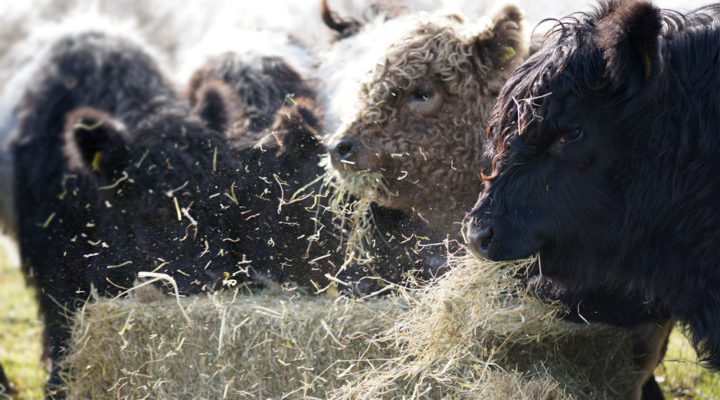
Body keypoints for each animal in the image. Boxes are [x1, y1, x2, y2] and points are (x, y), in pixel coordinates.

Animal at [10, 30, 256, 394]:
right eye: (152, 210)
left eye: (226, 196)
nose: (211, 279)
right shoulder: (50, 261)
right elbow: (60, 328)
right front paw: (57, 387)